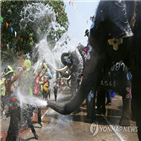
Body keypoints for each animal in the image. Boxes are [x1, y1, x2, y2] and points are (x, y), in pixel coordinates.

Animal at [47, 0, 141, 139]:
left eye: (99, 29)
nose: (46, 102)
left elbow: (91, 89)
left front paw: (88, 119)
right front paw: (93, 115)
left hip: (126, 75)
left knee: (127, 94)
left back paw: (124, 124)